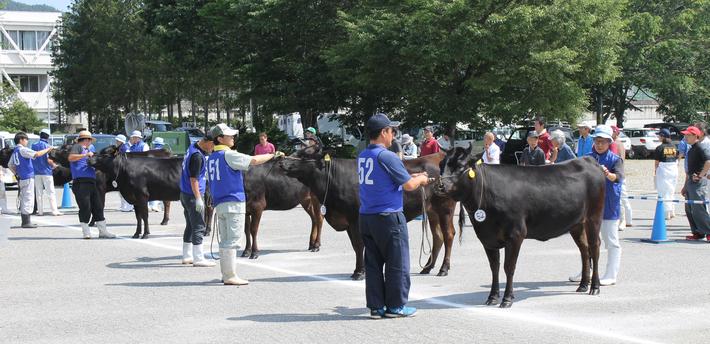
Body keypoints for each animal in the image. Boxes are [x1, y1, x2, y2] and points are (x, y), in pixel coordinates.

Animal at [278, 145, 456, 280]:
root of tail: (438, 156)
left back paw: (443, 269)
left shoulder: (355, 219)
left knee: (448, 235)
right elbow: (355, 246)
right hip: (432, 211)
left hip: (445, 208)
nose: (281, 161)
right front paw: (359, 270)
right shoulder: (347, 220)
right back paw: (427, 267)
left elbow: (359, 245)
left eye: (303, 155)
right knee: (438, 237)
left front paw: (359, 272)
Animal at [436, 146, 604, 308]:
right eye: (441, 164)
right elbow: (494, 267)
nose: (440, 186)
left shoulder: (515, 234)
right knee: (584, 249)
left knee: (594, 248)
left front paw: (507, 299)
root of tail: (587, 160)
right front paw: (492, 297)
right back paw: (583, 285)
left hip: (594, 217)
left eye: (460, 166)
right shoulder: (487, 238)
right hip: (576, 223)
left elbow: (509, 267)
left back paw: (594, 287)